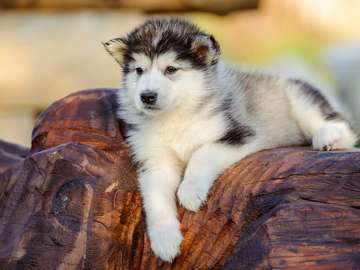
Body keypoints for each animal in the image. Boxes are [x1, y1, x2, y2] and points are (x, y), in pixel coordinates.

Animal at [102, 18, 356, 262]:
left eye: (171, 69)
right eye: (139, 70)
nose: (147, 96)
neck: (174, 117)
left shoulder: (238, 134)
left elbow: (201, 154)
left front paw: (190, 192)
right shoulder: (155, 163)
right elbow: (155, 199)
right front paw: (165, 241)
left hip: (298, 97)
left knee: (342, 125)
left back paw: (327, 137)